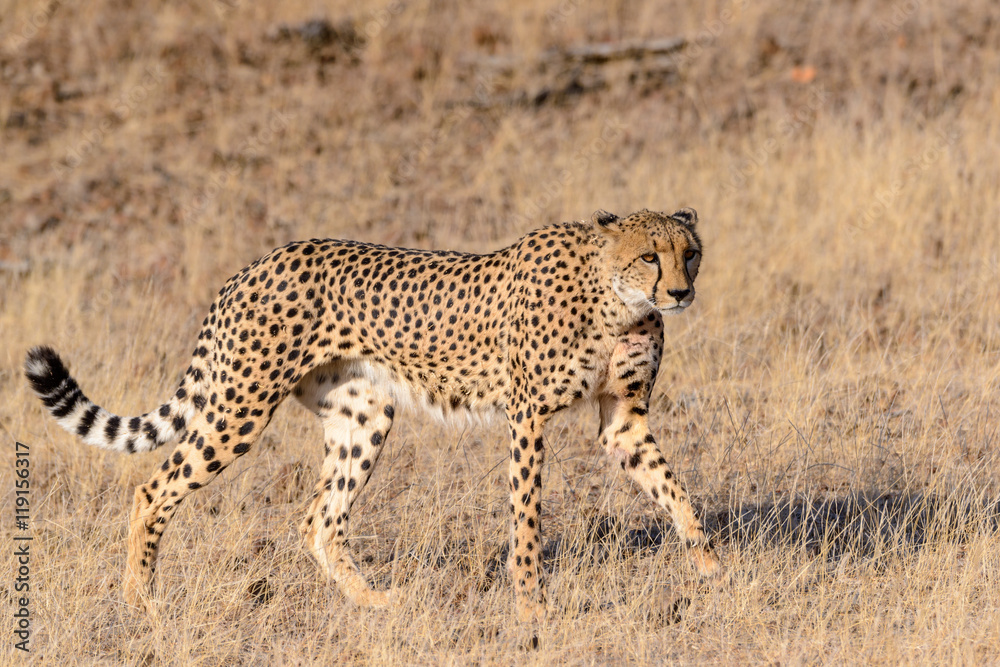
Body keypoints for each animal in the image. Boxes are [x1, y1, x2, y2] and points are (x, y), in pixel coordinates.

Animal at [25, 207, 720, 620]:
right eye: (650, 256)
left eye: (689, 252)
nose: (681, 291)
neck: (617, 301)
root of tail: (255, 263)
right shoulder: (526, 417)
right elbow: (527, 518)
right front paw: (531, 608)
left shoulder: (622, 419)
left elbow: (675, 490)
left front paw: (713, 570)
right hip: (241, 404)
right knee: (154, 488)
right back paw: (138, 598)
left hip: (366, 413)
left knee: (318, 518)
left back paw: (375, 604)